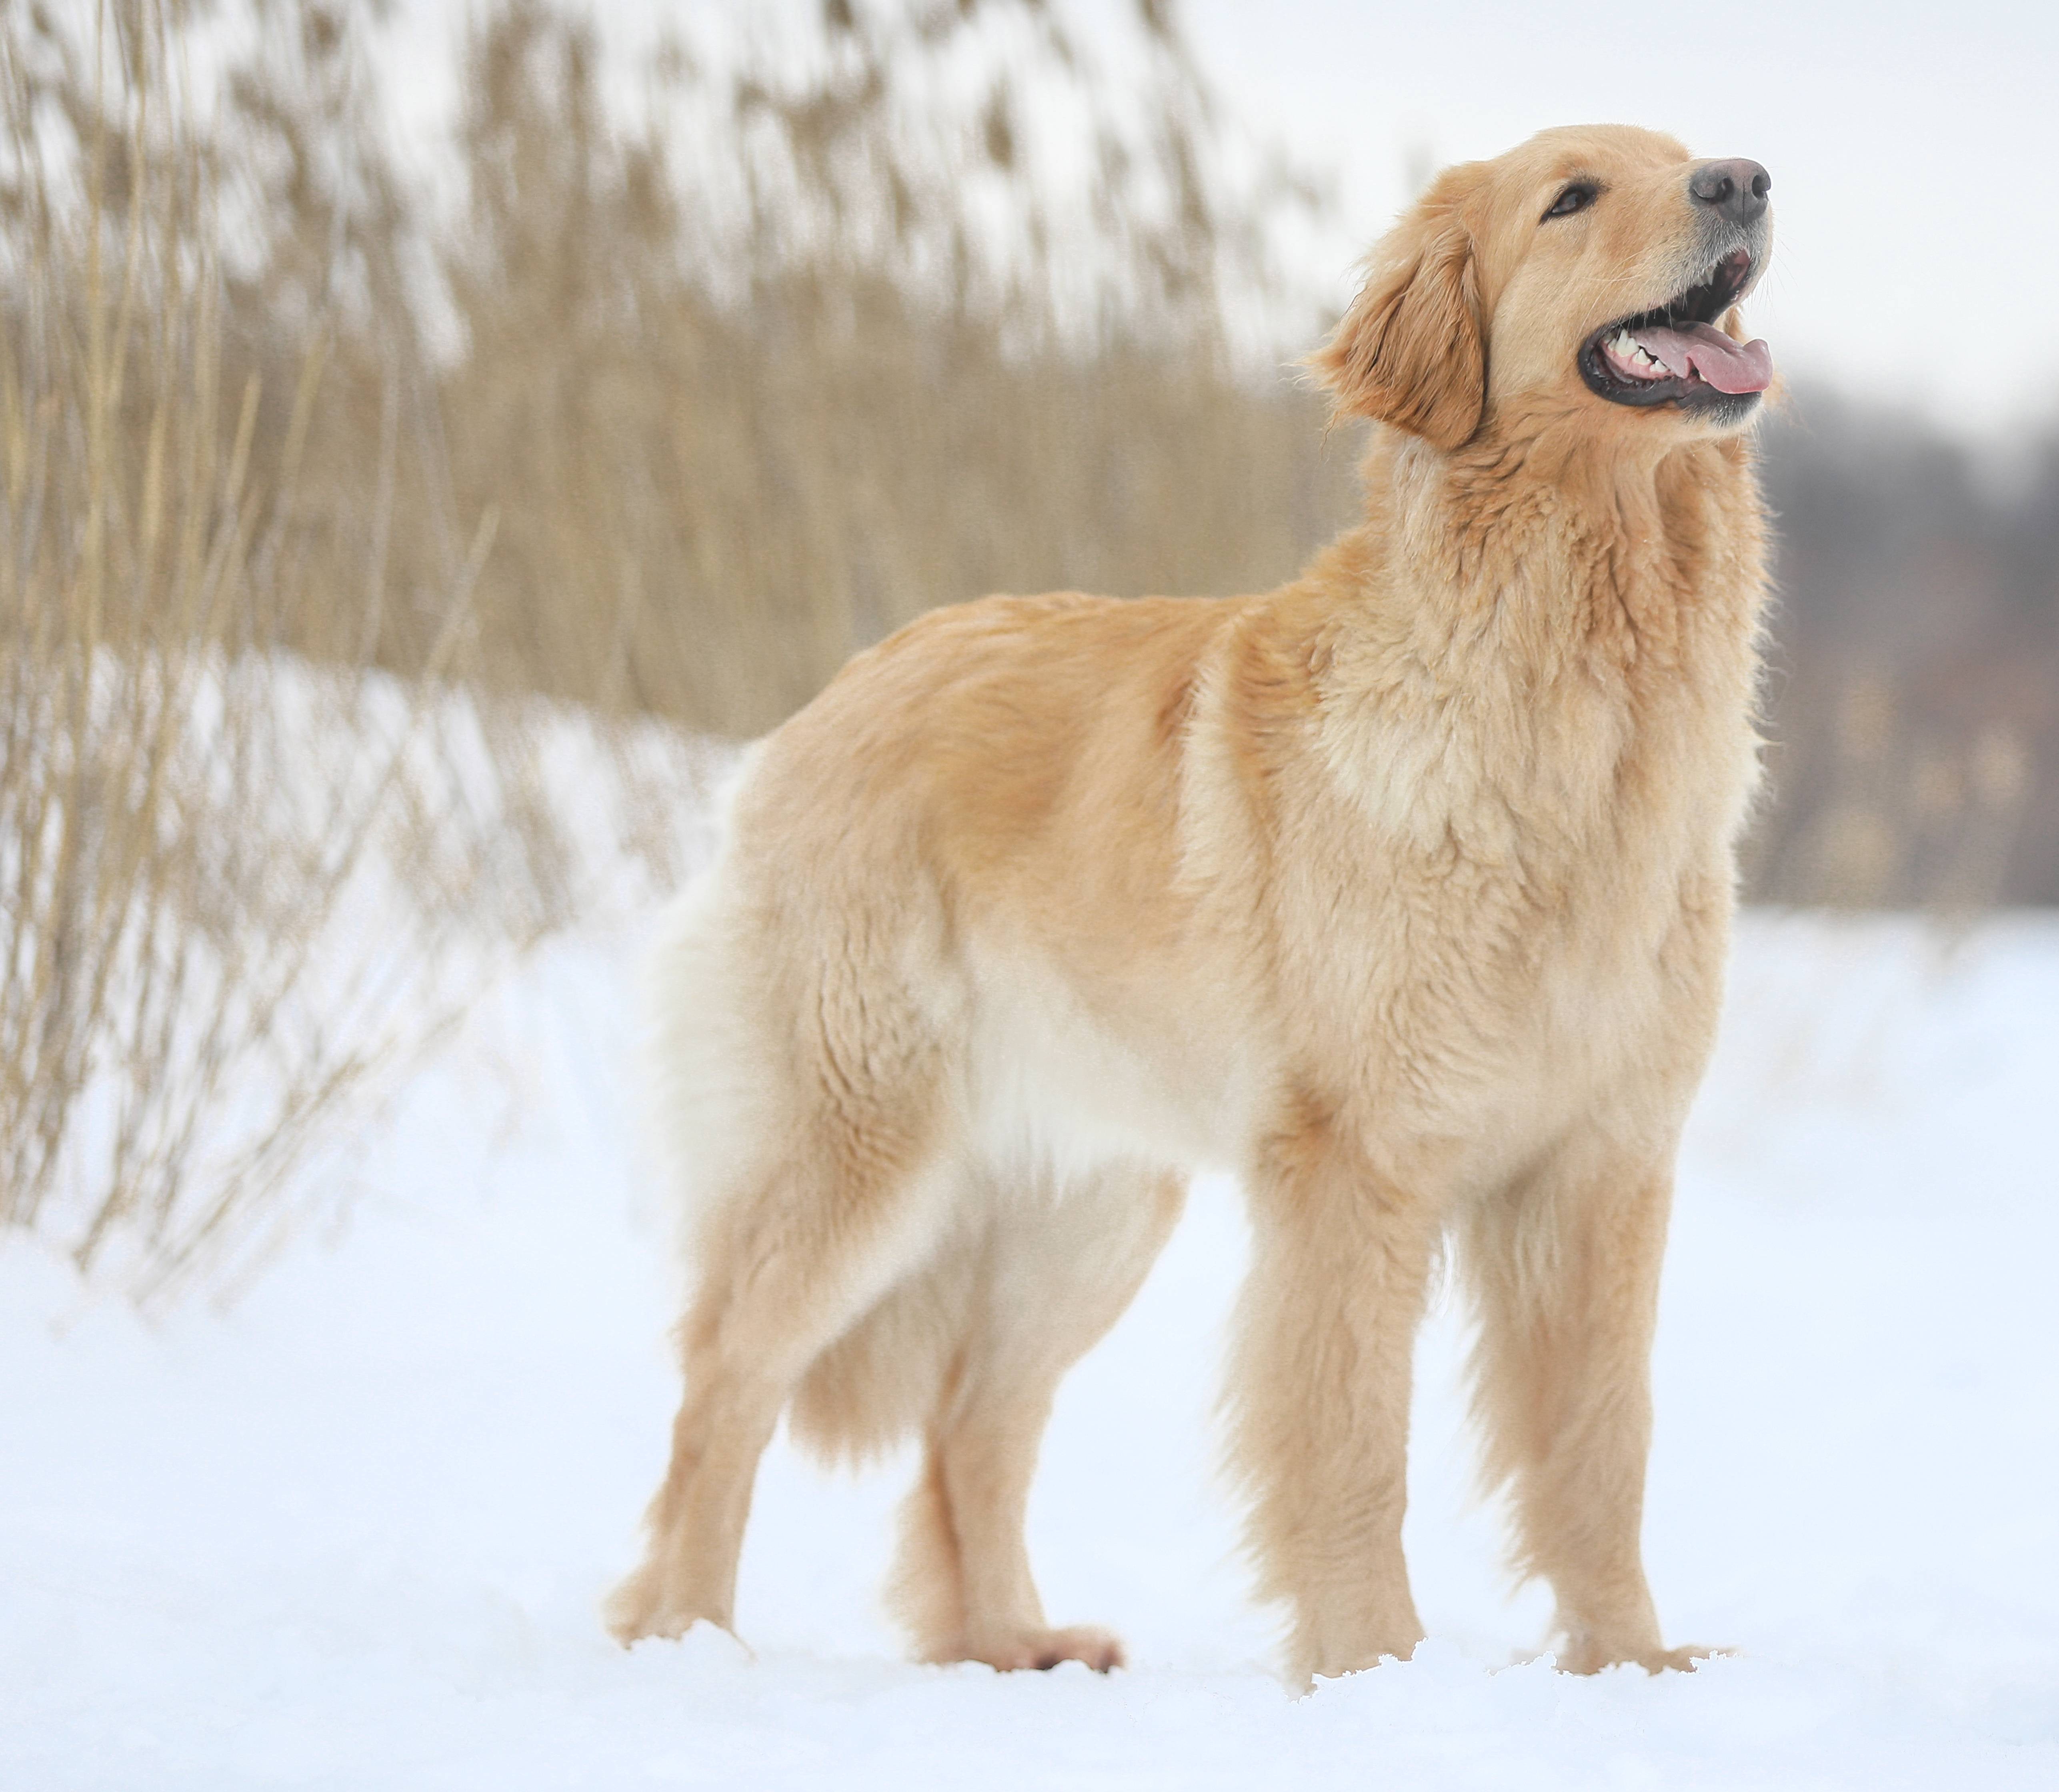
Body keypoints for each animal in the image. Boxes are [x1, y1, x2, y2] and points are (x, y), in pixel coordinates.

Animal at [605, 126, 1771, 1680]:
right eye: (1570, 198)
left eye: (1683, 158)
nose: (1742, 180)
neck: (1574, 680)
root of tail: (842, 689)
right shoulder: (1358, 1169)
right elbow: (1352, 1447)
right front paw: (1371, 1669)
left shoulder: (1601, 1169)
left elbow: (1599, 1447)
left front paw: (1628, 1667)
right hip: (859, 1151)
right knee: (727, 1376)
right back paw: (686, 1635)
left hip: (1090, 1209)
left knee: (975, 1417)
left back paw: (1009, 1641)